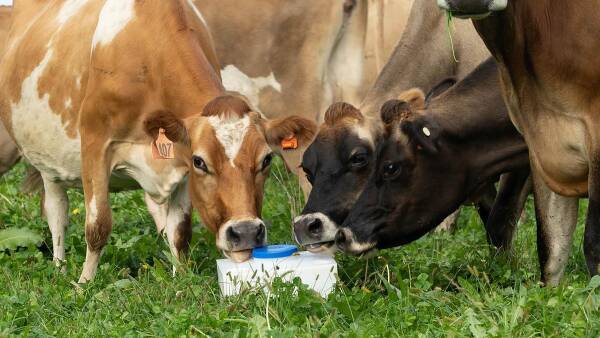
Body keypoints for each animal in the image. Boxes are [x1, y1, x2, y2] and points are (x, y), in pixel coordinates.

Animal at [0, 0, 316, 282]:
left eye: (266, 159)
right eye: (200, 161)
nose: (247, 232)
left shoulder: (178, 163)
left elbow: (180, 231)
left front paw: (181, 280)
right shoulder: (95, 144)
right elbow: (98, 225)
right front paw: (84, 284)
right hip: (41, 161)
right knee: (57, 214)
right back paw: (59, 269)